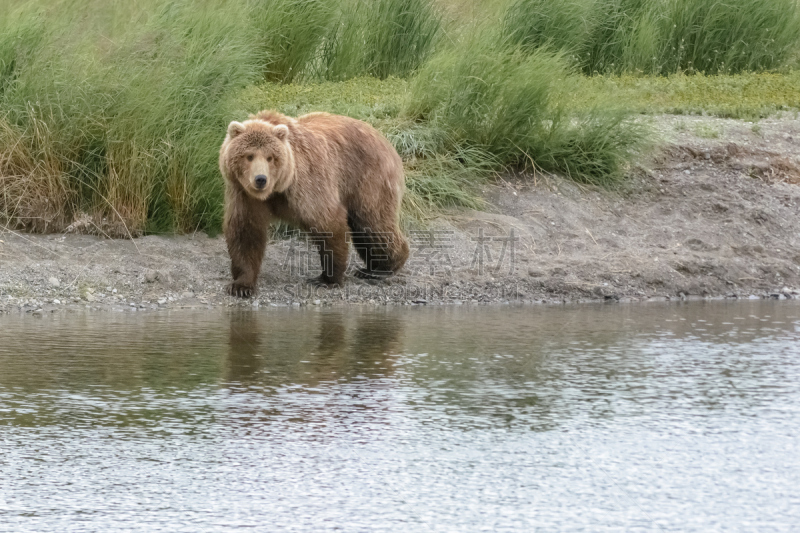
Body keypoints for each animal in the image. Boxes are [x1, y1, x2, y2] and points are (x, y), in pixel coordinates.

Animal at [217, 110, 406, 298]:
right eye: (249, 156)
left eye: (270, 157)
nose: (260, 179)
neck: (277, 189)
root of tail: (383, 138)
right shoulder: (244, 194)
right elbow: (245, 232)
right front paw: (241, 285)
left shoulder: (307, 183)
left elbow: (327, 223)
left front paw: (327, 278)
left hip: (367, 178)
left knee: (373, 222)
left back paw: (382, 268)